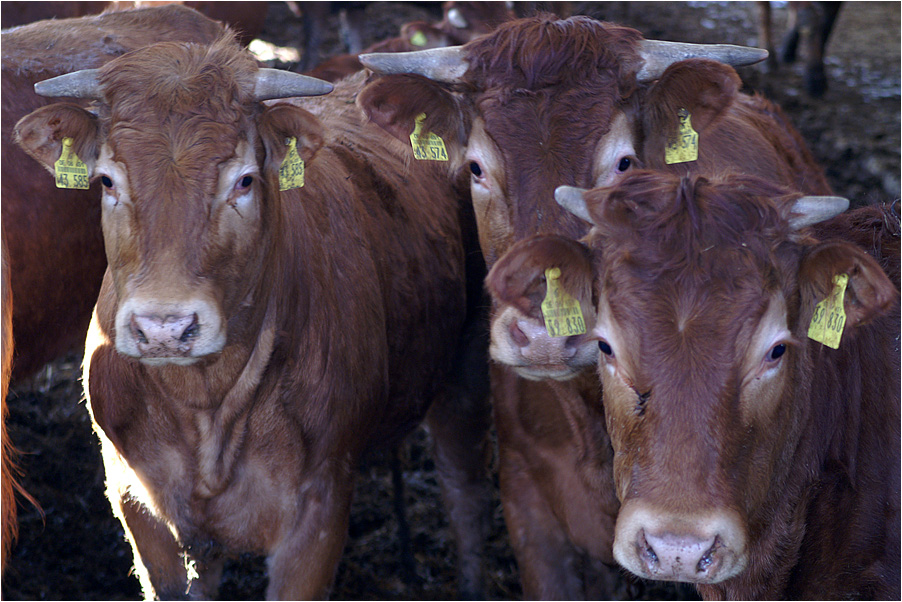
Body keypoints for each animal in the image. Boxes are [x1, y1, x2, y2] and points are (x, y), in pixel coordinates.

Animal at [14, 35, 490, 596]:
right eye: (107, 180)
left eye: (243, 181)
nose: (164, 328)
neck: (206, 405)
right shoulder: (142, 509)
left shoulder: (319, 515)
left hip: (467, 371)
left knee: (464, 493)